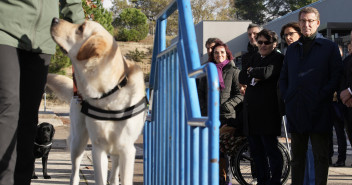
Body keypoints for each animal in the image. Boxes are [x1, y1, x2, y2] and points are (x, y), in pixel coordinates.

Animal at [47, 17, 146, 185]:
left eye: (81, 28)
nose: (54, 19)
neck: (109, 93)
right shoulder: (98, 148)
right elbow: (100, 178)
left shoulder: (127, 150)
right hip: (78, 140)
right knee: (75, 171)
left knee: (115, 170)